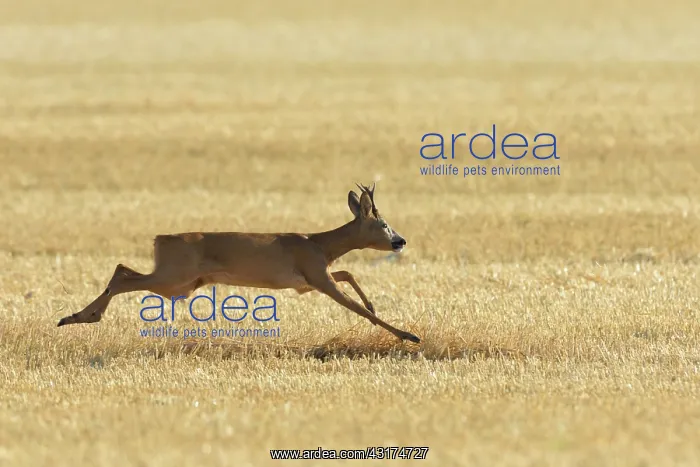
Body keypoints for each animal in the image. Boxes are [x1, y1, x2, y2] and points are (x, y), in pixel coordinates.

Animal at [57, 183, 421, 343]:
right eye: (383, 223)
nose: (401, 241)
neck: (319, 243)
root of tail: (160, 238)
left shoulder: (311, 280)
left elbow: (348, 273)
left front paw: (374, 305)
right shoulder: (318, 277)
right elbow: (353, 305)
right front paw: (408, 336)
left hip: (179, 283)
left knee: (122, 271)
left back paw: (76, 317)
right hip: (174, 278)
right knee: (121, 275)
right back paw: (77, 317)